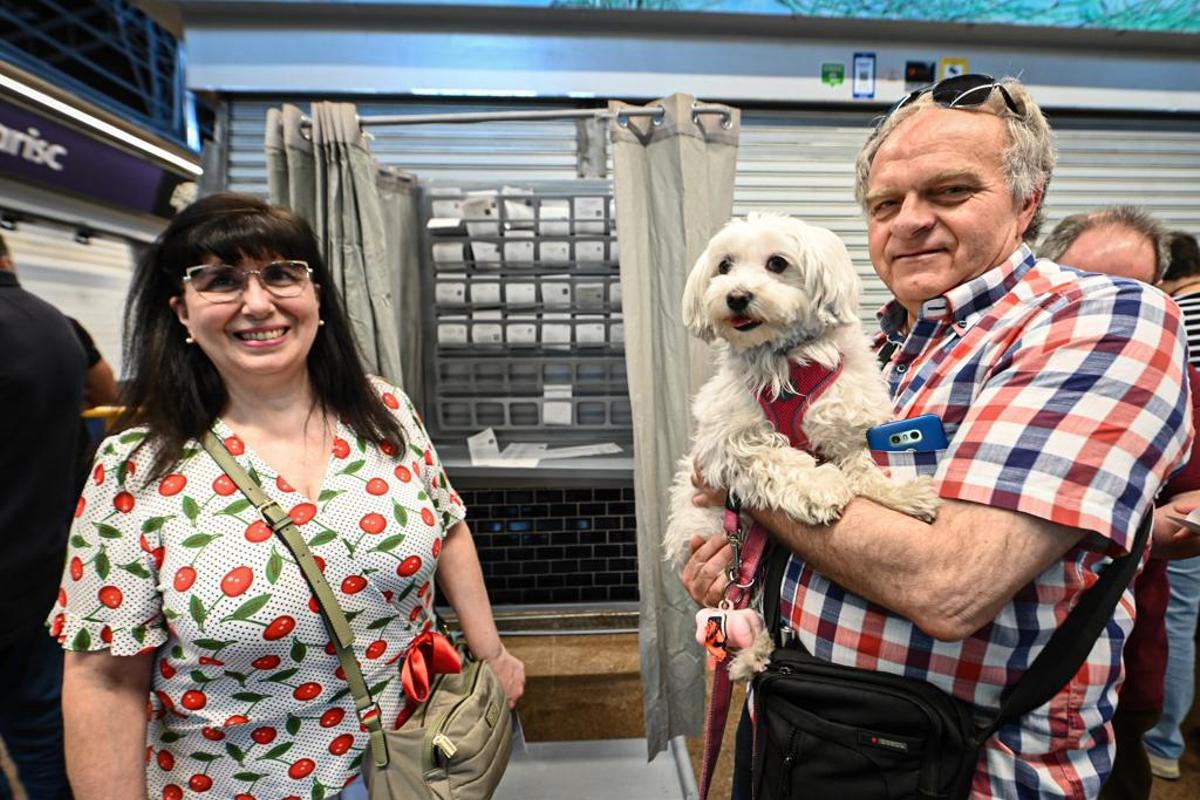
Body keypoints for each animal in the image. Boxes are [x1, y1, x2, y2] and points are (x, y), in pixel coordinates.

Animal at [667, 212, 936, 671]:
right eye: (724, 266)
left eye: (777, 263)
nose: (736, 296)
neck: (784, 359)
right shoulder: (726, 444)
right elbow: (777, 459)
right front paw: (821, 488)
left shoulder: (845, 422)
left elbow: (865, 472)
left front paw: (906, 496)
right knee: (742, 600)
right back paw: (754, 650)